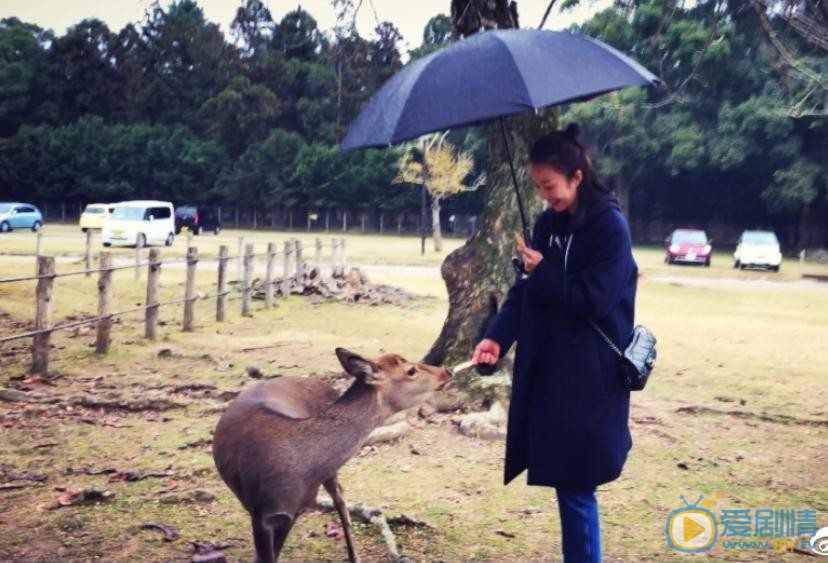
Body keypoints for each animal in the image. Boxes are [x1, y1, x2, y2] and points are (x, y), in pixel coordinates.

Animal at [210, 348, 450, 563]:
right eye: (411, 370)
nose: (446, 371)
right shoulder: (262, 514)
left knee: (341, 498)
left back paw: (354, 556)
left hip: (330, 475)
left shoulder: (293, 511)